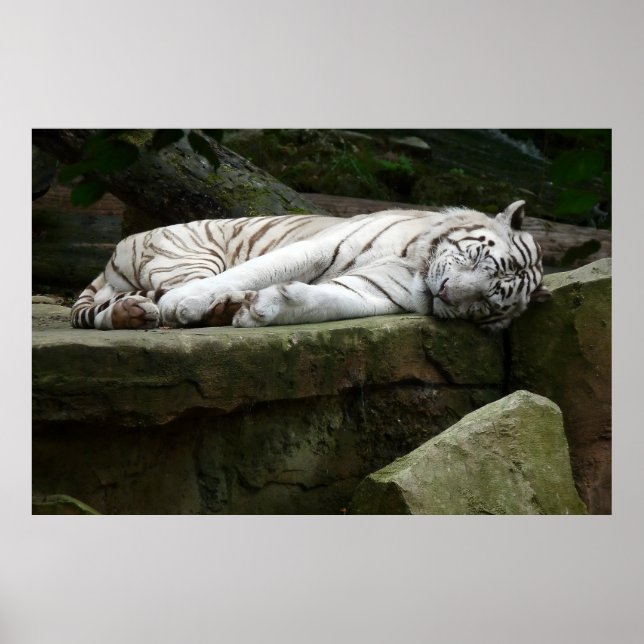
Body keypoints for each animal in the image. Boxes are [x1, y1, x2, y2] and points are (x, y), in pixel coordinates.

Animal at [71, 199, 550, 332]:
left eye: (487, 302)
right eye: (476, 257)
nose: (446, 292)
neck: (415, 263)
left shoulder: (374, 292)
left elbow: (328, 300)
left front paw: (262, 310)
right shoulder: (322, 245)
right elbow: (256, 270)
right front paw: (185, 304)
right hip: (190, 254)